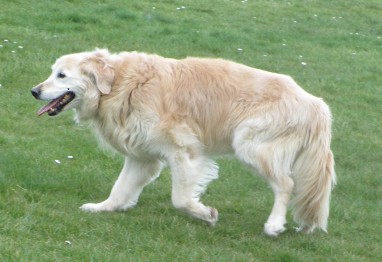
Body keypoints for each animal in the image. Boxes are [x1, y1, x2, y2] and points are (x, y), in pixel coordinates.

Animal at [30, 48, 334, 235]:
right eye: (53, 72)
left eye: (61, 75)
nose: (34, 91)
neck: (120, 85)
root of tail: (316, 104)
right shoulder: (141, 158)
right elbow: (120, 189)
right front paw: (103, 208)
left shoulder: (184, 152)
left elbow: (180, 199)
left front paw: (206, 214)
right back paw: (304, 227)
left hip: (250, 145)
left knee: (286, 184)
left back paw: (274, 225)